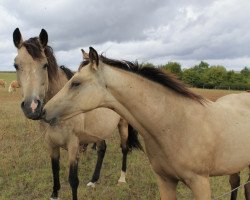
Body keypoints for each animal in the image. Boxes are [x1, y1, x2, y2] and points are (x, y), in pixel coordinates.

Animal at [13, 28, 143, 200]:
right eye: (16, 65)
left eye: (45, 65)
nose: (32, 107)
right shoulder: (51, 144)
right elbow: (55, 170)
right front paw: (54, 195)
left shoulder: (74, 145)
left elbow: (73, 180)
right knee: (102, 149)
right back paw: (93, 180)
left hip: (122, 125)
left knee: (124, 148)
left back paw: (122, 179)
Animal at [43, 47, 250, 200]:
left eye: (76, 83)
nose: (43, 111)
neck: (176, 125)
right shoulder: (165, 181)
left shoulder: (201, 184)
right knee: (236, 185)